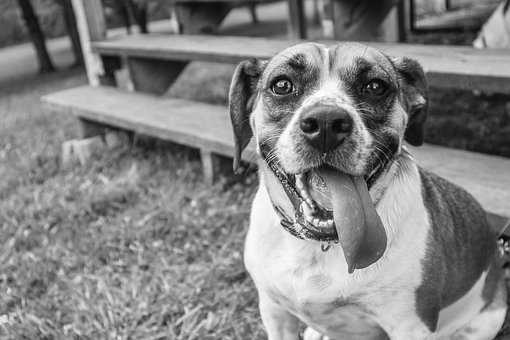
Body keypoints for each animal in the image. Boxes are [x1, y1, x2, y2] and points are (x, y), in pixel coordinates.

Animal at [229, 43, 508, 340]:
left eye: (375, 86)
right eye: (282, 85)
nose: (326, 122)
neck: (323, 246)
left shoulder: (409, 325)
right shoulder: (275, 312)